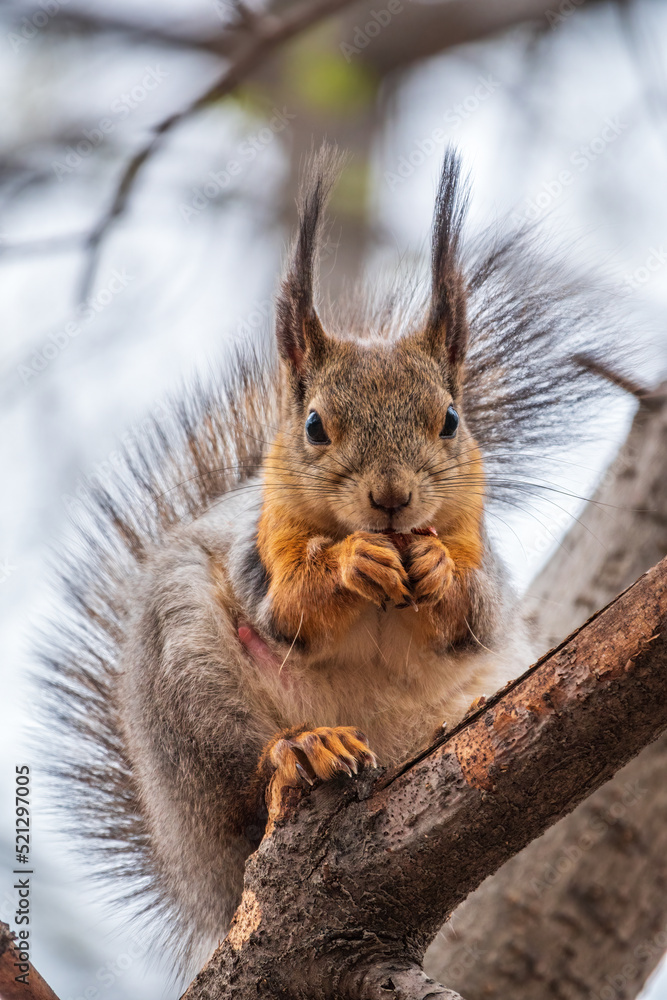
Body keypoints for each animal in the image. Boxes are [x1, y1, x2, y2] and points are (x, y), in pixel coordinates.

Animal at [41, 147, 620, 978]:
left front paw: (435, 571)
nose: (390, 499)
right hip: (189, 686)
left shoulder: (489, 578)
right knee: (243, 773)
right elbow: (285, 609)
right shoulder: (258, 559)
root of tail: (208, 884)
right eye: (314, 425)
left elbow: (472, 612)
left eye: (450, 420)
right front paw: (349, 563)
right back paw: (303, 747)